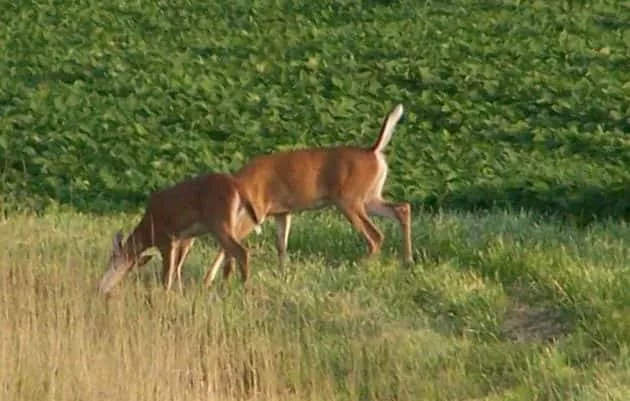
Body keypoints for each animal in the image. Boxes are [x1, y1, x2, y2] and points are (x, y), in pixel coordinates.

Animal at [97, 172, 260, 294]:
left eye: (113, 263)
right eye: (130, 269)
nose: (101, 287)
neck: (148, 231)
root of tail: (237, 186)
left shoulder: (166, 239)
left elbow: (167, 276)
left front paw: (166, 297)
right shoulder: (185, 239)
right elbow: (177, 269)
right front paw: (180, 294)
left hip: (219, 222)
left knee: (241, 252)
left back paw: (245, 290)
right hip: (234, 223)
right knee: (230, 255)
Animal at [200, 101, 412, 286]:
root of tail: (374, 151)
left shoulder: (258, 210)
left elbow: (230, 242)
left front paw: (208, 279)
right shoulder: (282, 212)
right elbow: (281, 245)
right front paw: (283, 275)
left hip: (349, 199)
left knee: (376, 235)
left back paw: (361, 267)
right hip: (369, 197)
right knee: (402, 208)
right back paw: (407, 260)